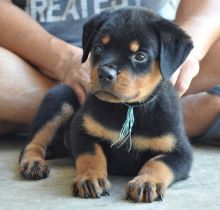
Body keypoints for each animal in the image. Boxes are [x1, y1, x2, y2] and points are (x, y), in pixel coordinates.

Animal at [19, 7, 193, 203]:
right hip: (59, 98)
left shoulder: (181, 151)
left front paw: (147, 182)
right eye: (99, 48)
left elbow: (158, 162)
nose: (105, 73)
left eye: (140, 56)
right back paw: (33, 163)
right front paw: (90, 179)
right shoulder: (81, 129)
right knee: (34, 140)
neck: (127, 108)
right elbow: (92, 155)